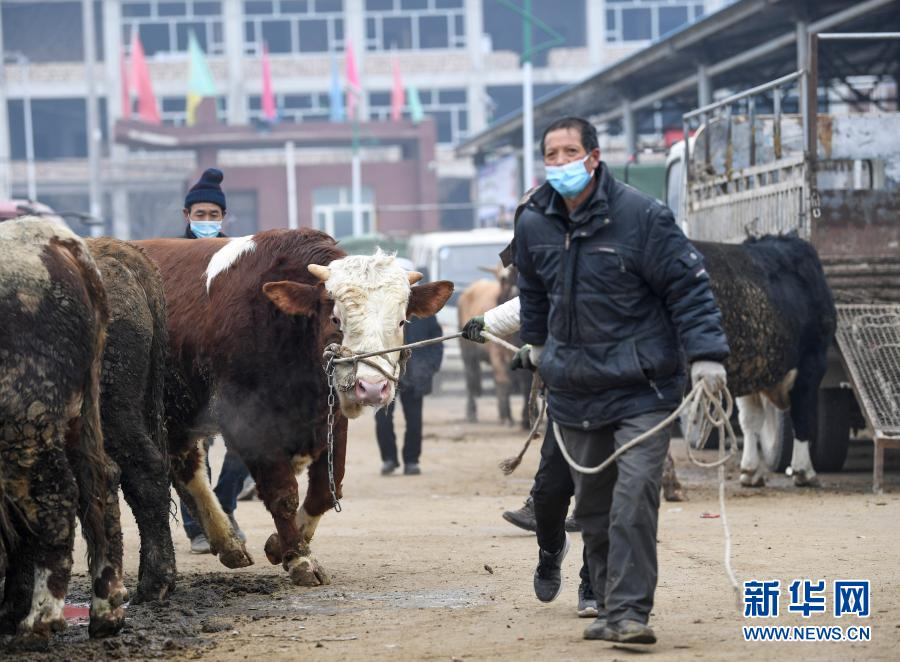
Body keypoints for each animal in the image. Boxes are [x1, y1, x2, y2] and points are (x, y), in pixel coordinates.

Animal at [0, 218, 127, 648]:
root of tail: (52, 238)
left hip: (25, 425)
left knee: (57, 498)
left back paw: (39, 618)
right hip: (76, 421)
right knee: (101, 483)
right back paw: (105, 608)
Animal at [137, 232, 454, 588]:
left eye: (401, 321)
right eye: (335, 318)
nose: (372, 387)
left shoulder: (330, 420)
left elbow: (326, 491)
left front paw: (280, 545)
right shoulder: (249, 424)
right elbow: (282, 493)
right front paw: (300, 558)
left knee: (185, 466)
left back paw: (228, 543)